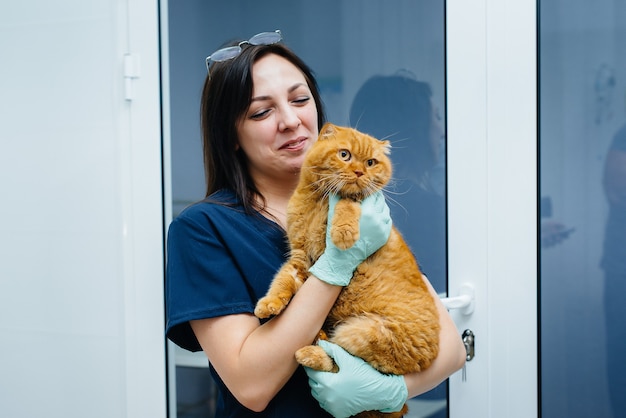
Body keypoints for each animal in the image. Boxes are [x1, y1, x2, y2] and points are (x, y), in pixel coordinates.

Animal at [254, 122, 438, 416]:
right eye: (345, 155)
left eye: (371, 162)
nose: (360, 172)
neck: (316, 201)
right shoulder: (300, 260)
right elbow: (282, 281)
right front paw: (269, 304)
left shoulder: (353, 201)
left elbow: (347, 200)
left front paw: (343, 233)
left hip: (359, 333)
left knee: (344, 366)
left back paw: (311, 353)